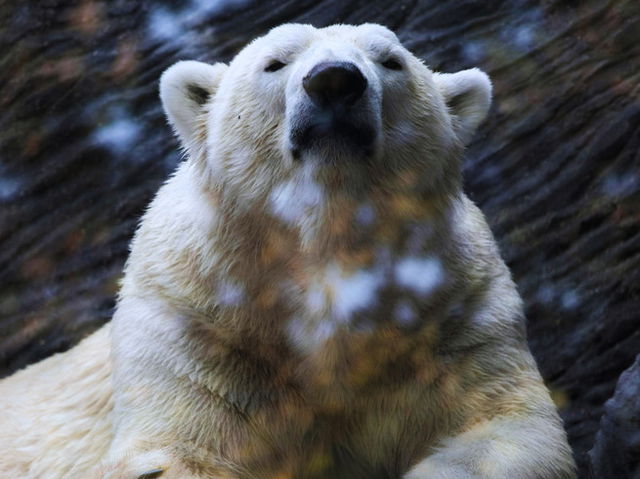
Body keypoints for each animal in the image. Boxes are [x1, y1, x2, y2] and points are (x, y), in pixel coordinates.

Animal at [0, 23, 576, 479]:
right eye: (274, 62)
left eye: (390, 60)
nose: (335, 80)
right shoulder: (196, 327)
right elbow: (180, 452)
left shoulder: (452, 316)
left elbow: (507, 429)